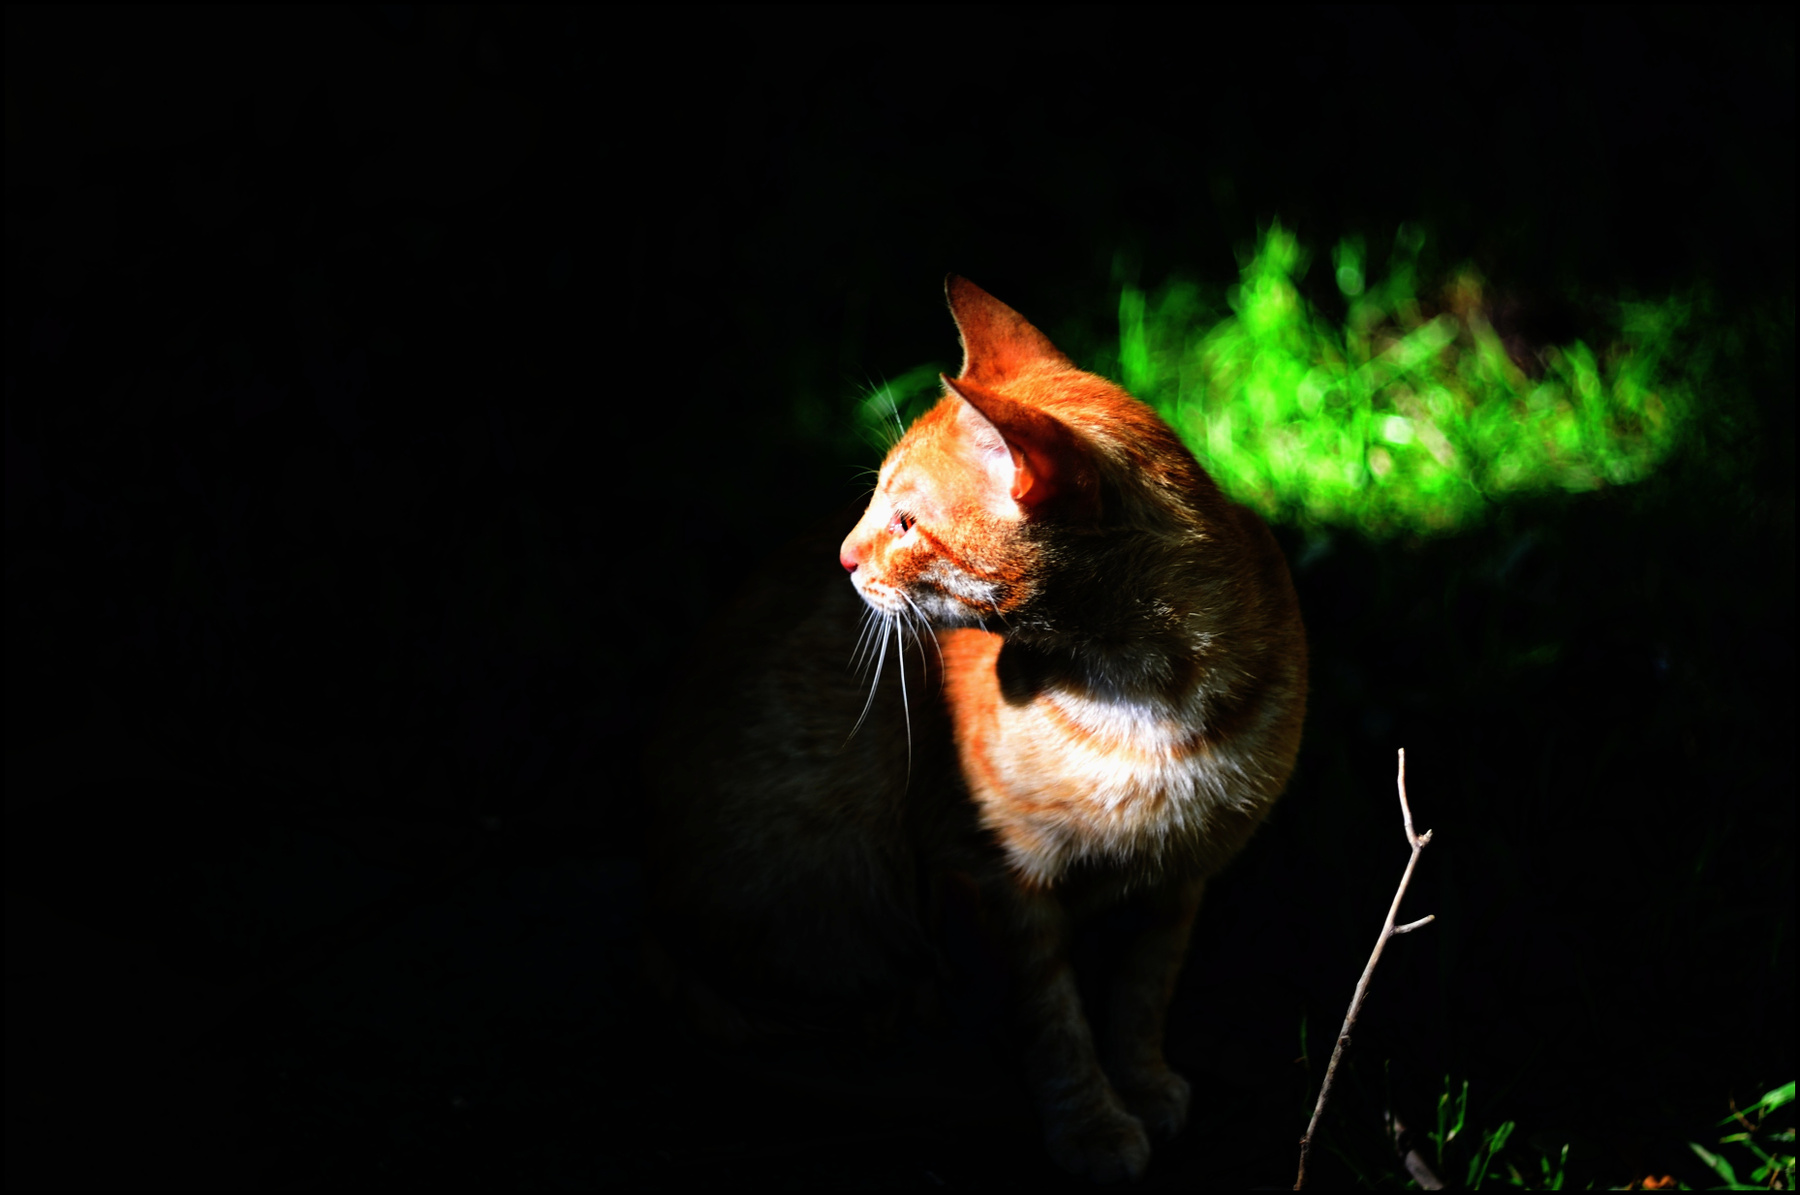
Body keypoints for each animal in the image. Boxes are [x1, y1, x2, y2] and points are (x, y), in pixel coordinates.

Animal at [646, 276, 1307, 1183]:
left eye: (906, 523)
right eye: (872, 503)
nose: (843, 558)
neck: (1145, 699)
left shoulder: (1181, 881)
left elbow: (1143, 993)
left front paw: (1142, 1081)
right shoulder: (988, 877)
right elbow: (1052, 1020)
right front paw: (1091, 1124)